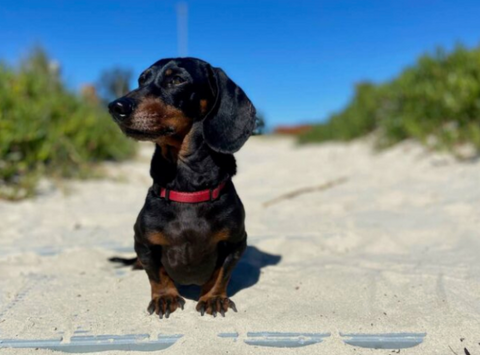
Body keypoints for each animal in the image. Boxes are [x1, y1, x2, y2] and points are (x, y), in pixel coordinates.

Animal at [107, 57, 256, 318]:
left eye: (176, 79)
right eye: (142, 80)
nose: (116, 106)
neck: (188, 189)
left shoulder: (236, 243)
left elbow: (222, 274)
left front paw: (213, 297)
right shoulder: (143, 243)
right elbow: (157, 274)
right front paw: (165, 297)